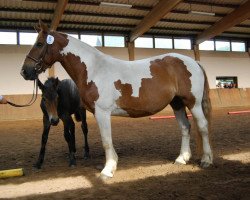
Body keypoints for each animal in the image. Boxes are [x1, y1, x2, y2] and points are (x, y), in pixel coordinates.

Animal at [21, 20, 213, 178]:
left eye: (39, 43)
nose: (25, 71)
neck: (93, 69)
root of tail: (194, 62)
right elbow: (107, 141)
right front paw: (112, 165)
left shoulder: (102, 112)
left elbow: (106, 141)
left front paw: (108, 170)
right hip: (177, 103)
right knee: (185, 127)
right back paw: (181, 159)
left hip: (193, 103)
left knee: (203, 127)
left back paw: (206, 160)